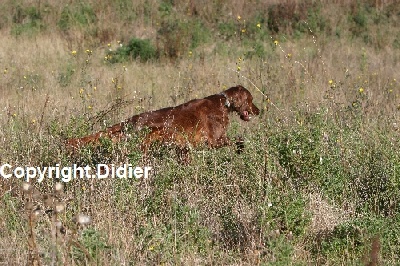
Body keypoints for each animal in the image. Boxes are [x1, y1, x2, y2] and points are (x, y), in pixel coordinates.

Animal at [66, 85, 260, 158]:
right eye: (251, 99)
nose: (259, 111)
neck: (224, 103)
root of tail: (132, 119)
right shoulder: (213, 141)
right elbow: (237, 139)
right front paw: (241, 149)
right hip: (150, 139)